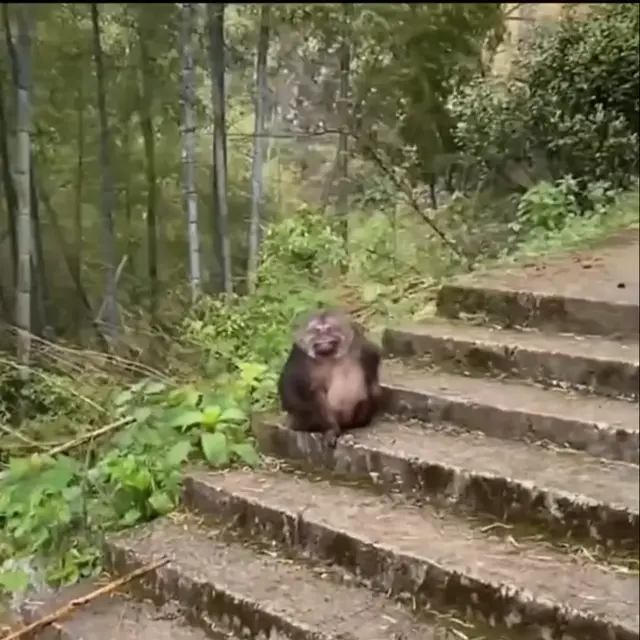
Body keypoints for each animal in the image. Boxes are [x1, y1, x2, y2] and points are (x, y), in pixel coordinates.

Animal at [277, 308, 383, 448]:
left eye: (329, 329)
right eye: (316, 331)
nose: (323, 337)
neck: (328, 355)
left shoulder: (358, 341)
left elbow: (371, 357)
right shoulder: (300, 354)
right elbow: (292, 387)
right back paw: (331, 428)